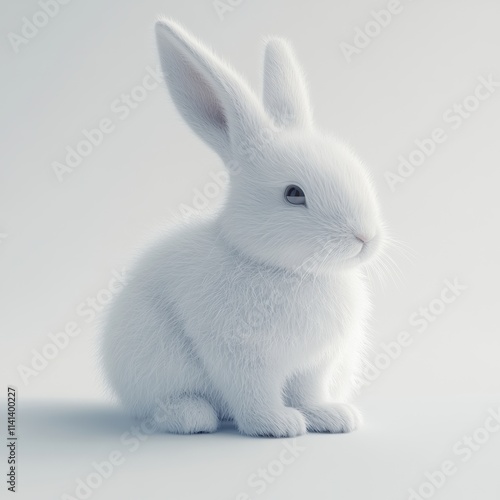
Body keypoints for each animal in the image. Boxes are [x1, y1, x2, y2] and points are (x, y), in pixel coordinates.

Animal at [99, 17, 384, 436]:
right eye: (294, 194)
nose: (366, 237)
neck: (290, 272)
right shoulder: (241, 356)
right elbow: (254, 394)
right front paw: (277, 425)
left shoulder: (316, 362)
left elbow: (308, 392)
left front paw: (329, 417)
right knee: (161, 405)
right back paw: (192, 416)